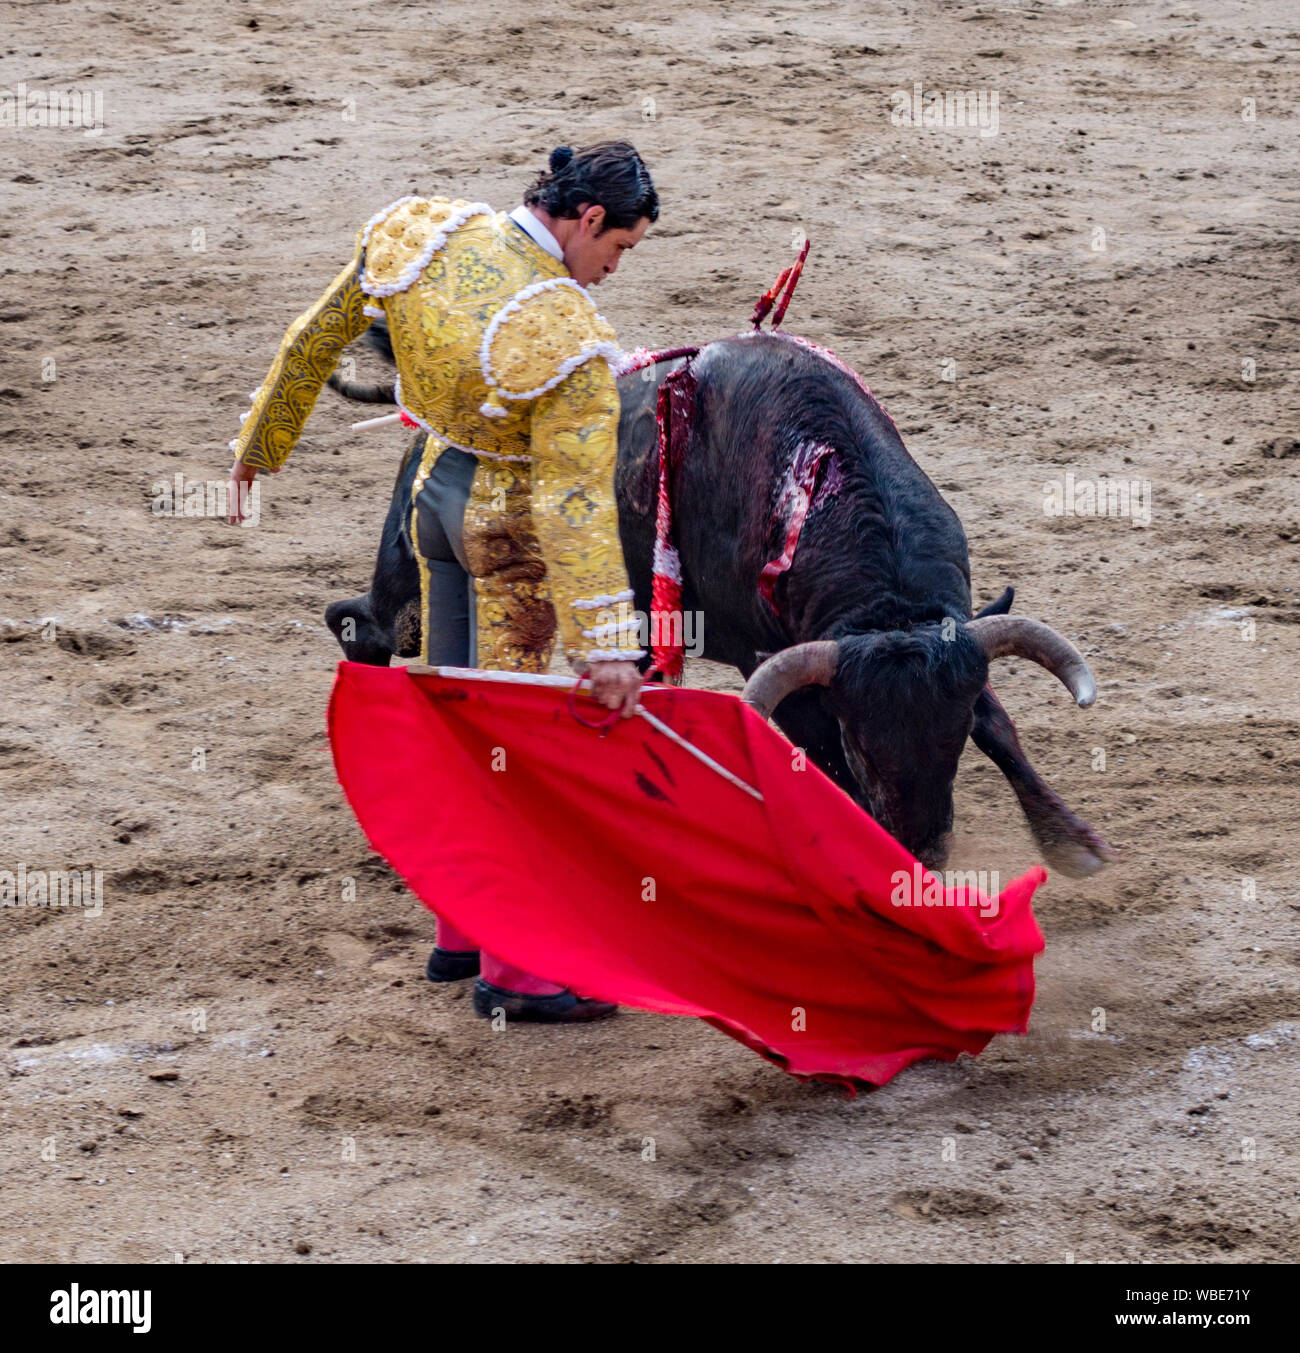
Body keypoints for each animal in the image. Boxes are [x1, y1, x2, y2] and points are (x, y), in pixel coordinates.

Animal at [324, 322, 1113, 877]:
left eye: (950, 740)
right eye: (863, 743)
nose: (925, 851)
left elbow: (1001, 727)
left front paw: (1071, 842)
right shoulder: (775, 664)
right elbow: (821, 761)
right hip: (416, 559)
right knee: (378, 618)